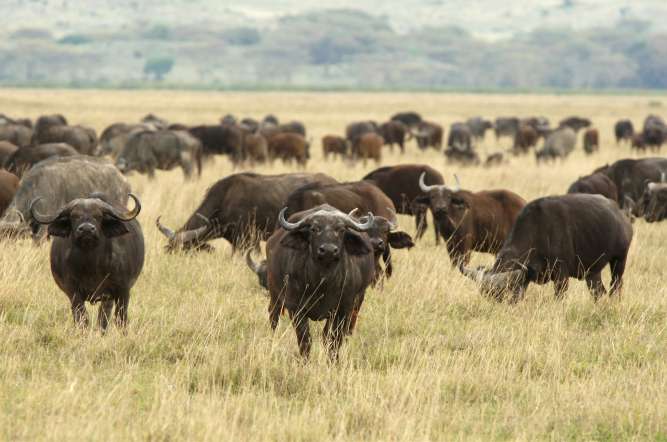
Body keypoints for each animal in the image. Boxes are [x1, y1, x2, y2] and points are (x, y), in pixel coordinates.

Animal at [30, 193, 144, 330]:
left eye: (98, 216)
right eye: (74, 216)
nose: (86, 229)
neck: (91, 264)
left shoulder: (123, 290)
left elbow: (121, 319)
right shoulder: (73, 292)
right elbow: (82, 318)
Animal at [460, 194, 632, 302]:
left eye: (501, 294)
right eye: (486, 295)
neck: (538, 231)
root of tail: (621, 215)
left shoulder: (561, 275)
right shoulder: (524, 279)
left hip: (619, 260)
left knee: (615, 286)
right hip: (592, 272)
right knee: (599, 292)